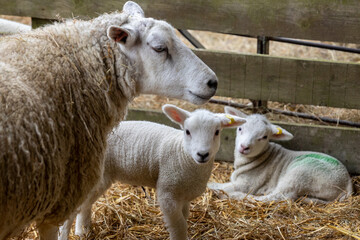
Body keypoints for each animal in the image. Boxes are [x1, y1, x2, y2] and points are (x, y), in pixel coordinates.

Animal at [59, 104, 246, 240]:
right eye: (187, 131)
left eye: (217, 132)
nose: (202, 154)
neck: (183, 155)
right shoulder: (167, 193)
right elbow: (179, 226)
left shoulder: (184, 197)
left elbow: (185, 217)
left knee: (85, 205)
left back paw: (82, 231)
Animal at [207, 107, 352, 202]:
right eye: (240, 128)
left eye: (264, 137)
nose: (244, 147)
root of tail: (347, 183)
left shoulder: (247, 183)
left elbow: (222, 186)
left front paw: (212, 187)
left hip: (302, 174)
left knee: (279, 197)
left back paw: (233, 196)